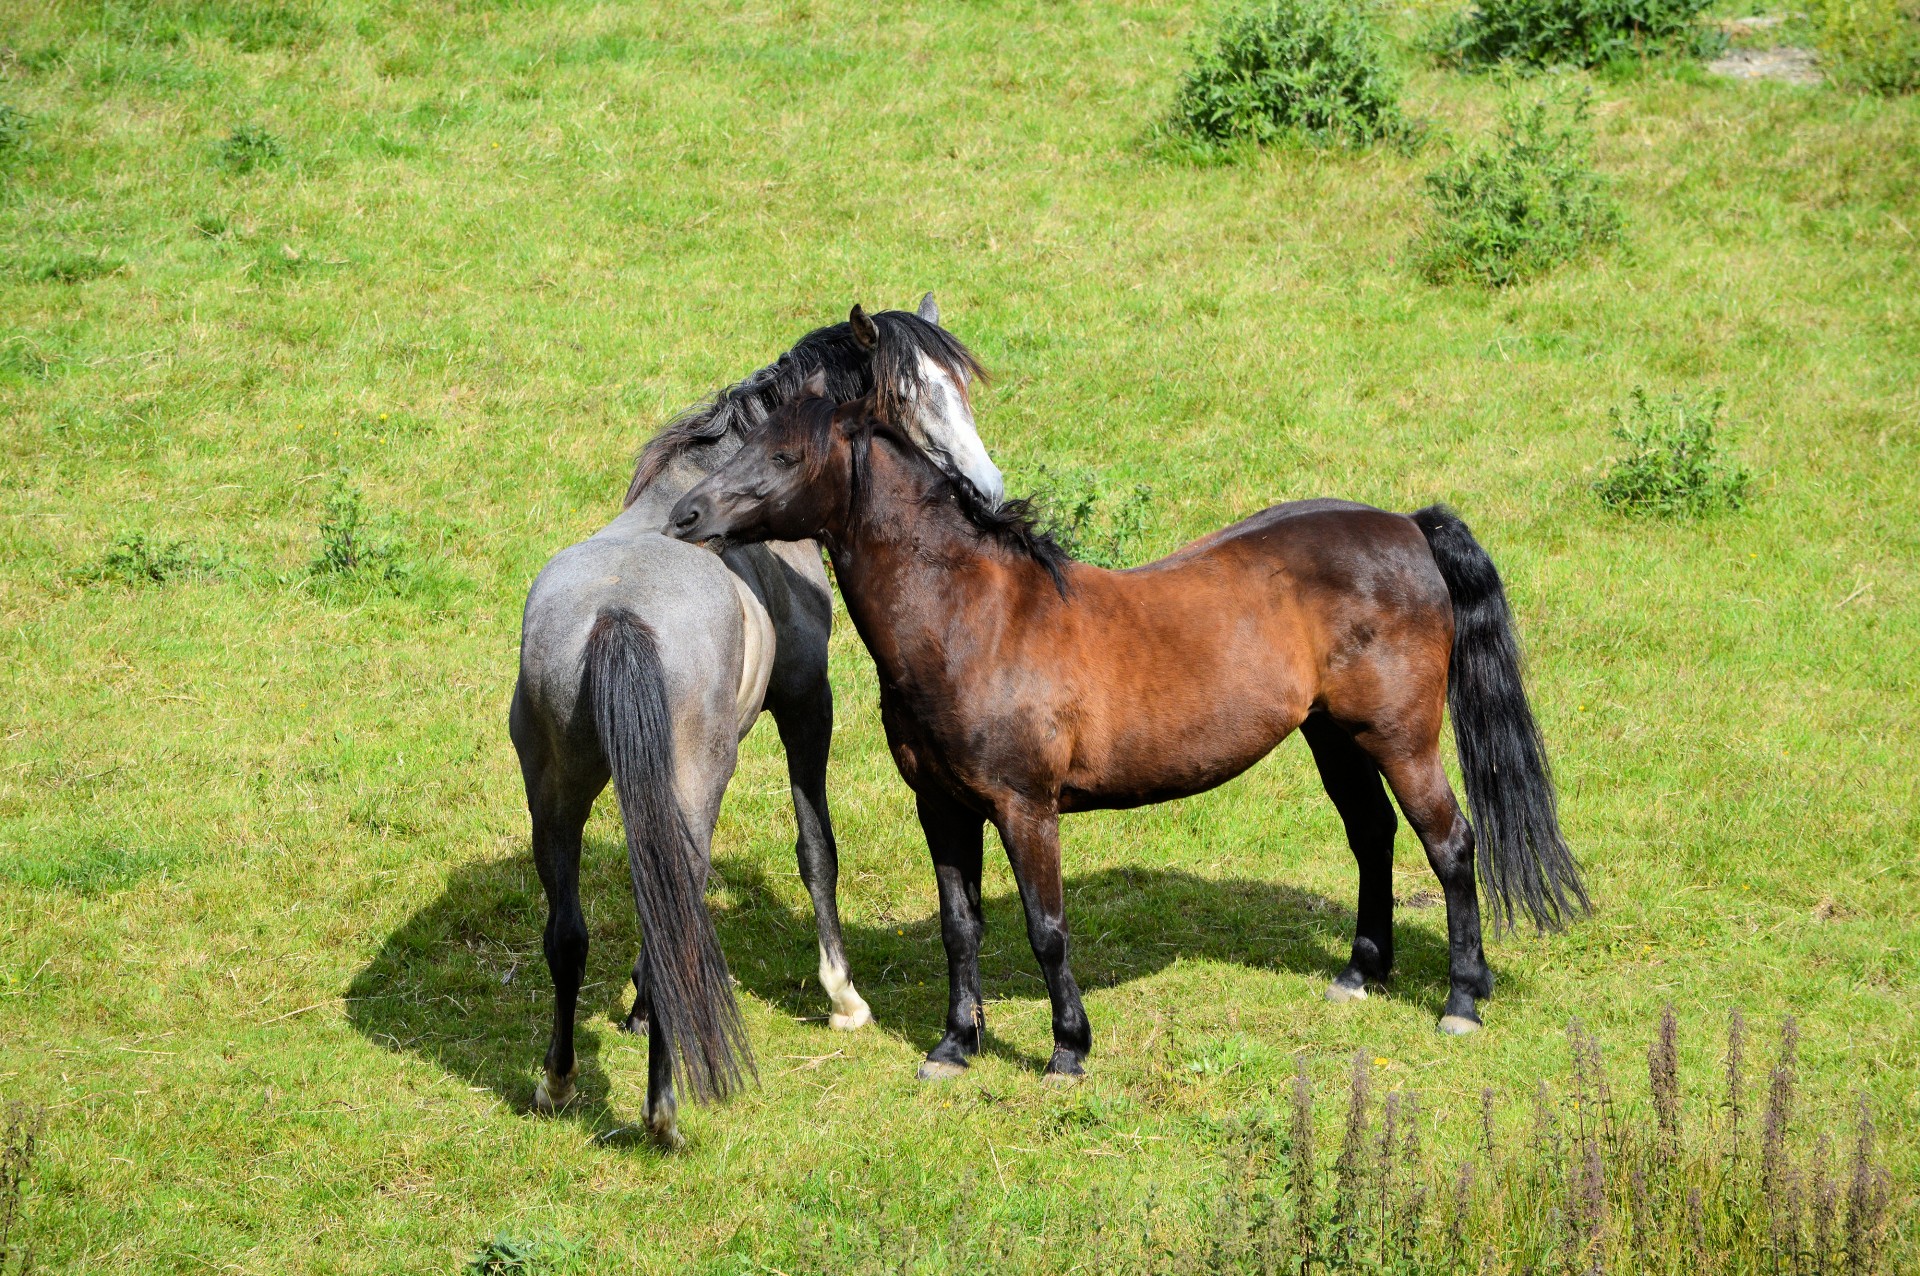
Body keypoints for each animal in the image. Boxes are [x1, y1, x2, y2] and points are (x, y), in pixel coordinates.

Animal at [506, 295, 1006, 1143]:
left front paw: (640, 1010)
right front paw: (842, 995)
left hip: (558, 795)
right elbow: (816, 848)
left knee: (571, 933)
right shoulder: (807, 700)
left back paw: (560, 1081)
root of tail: (615, 615)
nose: (986, 489)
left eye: (963, 389)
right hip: (694, 780)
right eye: (909, 399)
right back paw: (664, 1113)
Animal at [660, 383, 1589, 1082]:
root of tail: (1405, 526)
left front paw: (1068, 1051)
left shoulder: (1026, 808)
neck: (973, 618)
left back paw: (1462, 1000)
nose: (686, 518)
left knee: (1450, 845)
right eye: (740, 442)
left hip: (1401, 739)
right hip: (1334, 738)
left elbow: (1047, 928)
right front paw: (954, 1047)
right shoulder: (943, 808)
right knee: (1372, 837)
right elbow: (962, 927)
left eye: (784, 456)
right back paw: (1361, 975)